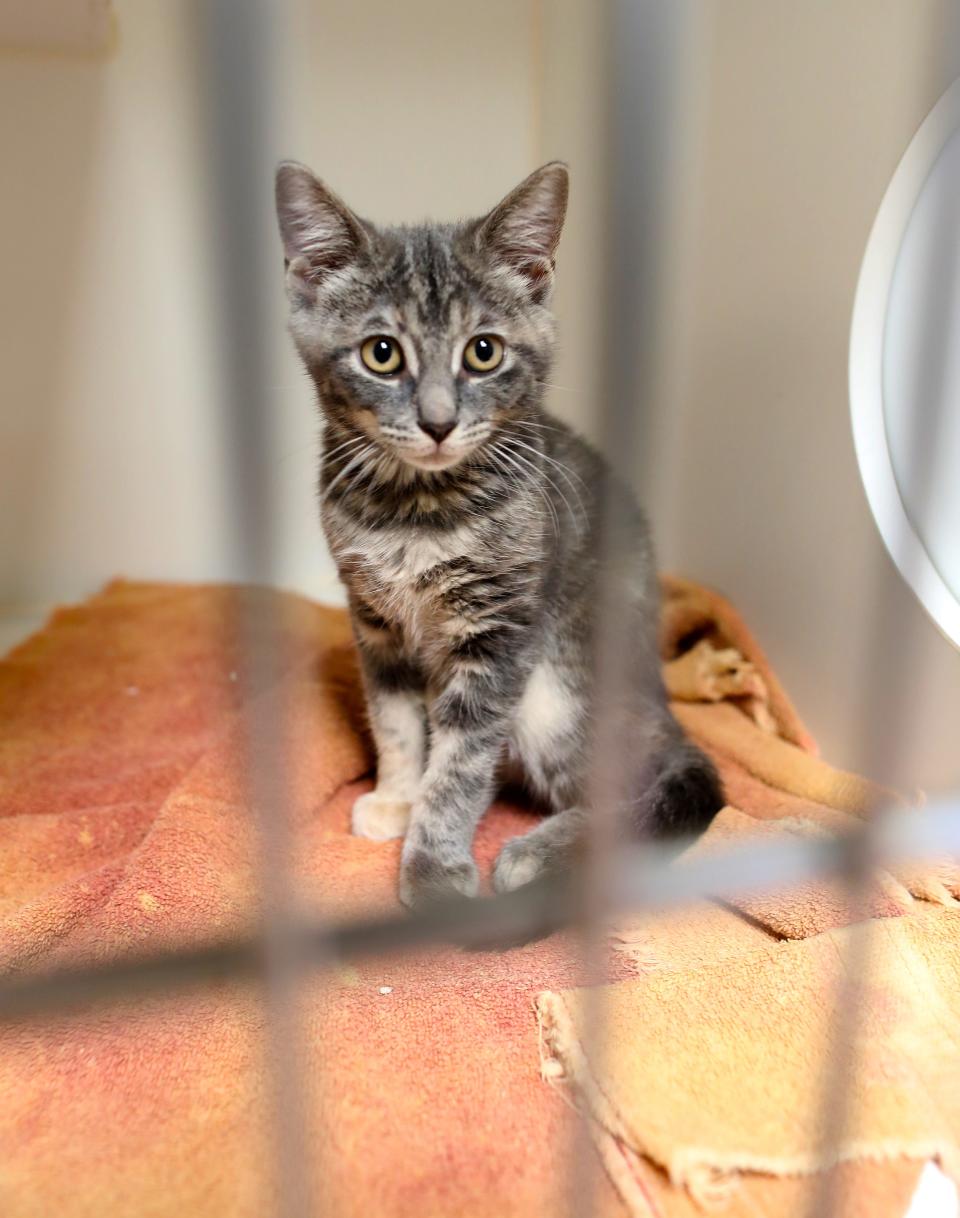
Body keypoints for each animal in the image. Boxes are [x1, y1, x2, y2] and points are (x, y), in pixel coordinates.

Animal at [274, 159, 726, 906]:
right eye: (381, 353)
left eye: (483, 352)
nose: (437, 421)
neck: (416, 510)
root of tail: (659, 698)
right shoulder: (375, 623)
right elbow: (396, 721)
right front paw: (397, 798)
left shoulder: (500, 633)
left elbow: (461, 759)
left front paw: (433, 865)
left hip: (555, 697)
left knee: (654, 787)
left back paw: (541, 853)